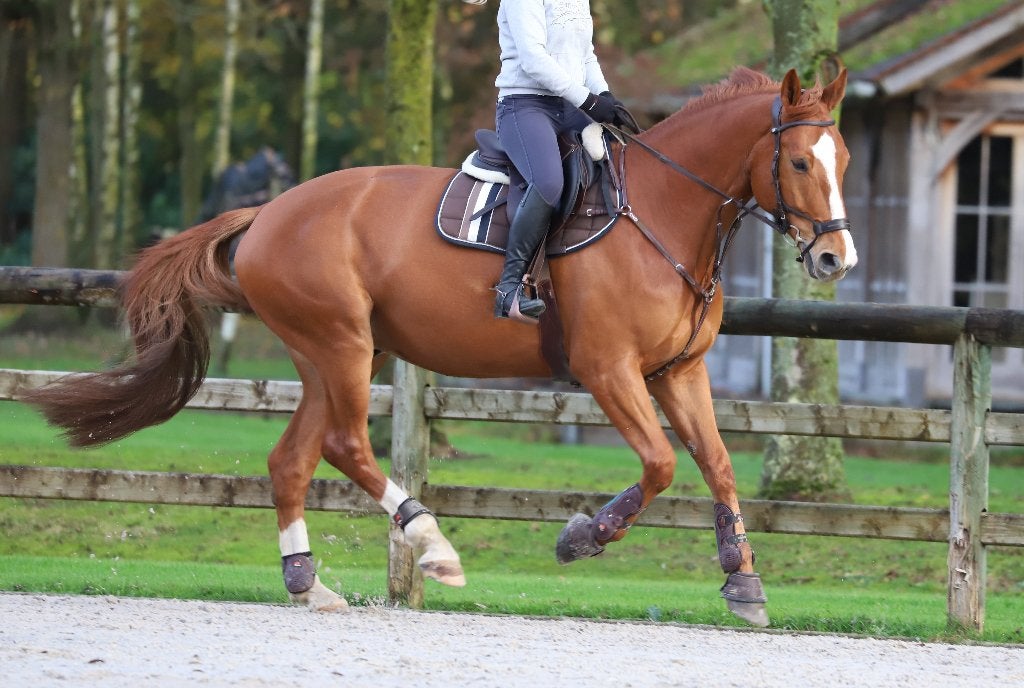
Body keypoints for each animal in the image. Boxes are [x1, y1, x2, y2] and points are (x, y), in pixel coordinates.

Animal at [24, 66, 856, 628]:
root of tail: (269, 211)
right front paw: (582, 537)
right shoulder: (607, 368)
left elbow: (716, 465)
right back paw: (430, 544)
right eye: (799, 162)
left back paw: (307, 581)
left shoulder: (678, 373)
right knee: (346, 444)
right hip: (341, 344)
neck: (662, 211)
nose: (832, 259)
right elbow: (659, 464)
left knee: (293, 458)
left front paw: (742, 582)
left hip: (337, 353)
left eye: (843, 161)